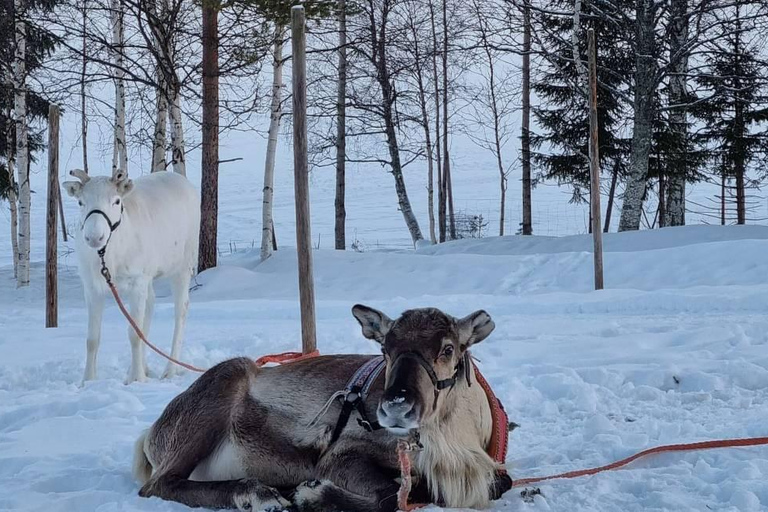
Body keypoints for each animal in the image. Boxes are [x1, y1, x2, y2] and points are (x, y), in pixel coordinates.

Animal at [63, 168, 200, 384]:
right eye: (80, 202)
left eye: (116, 201)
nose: (94, 237)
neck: (108, 256)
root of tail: (185, 182)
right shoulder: (92, 287)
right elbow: (92, 339)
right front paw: (88, 381)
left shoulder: (136, 281)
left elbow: (134, 334)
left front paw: (136, 378)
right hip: (150, 277)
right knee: (150, 305)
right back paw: (144, 367)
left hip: (182, 266)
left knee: (181, 310)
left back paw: (169, 370)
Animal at [132, 305, 512, 511]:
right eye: (385, 349)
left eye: (448, 348)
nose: (395, 406)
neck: (451, 440)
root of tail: (150, 434)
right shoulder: (340, 454)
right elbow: (390, 496)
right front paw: (312, 494)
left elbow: (498, 483)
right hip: (219, 389)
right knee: (159, 484)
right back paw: (259, 495)